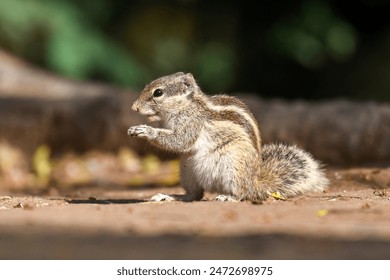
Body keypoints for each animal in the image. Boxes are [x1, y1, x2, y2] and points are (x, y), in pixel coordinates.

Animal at [128, 71, 330, 201]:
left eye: (158, 92)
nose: (134, 108)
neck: (187, 105)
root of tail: (254, 181)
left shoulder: (192, 124)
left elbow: (180, 141)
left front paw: (145, 130)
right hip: (187, 171)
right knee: (194, 195)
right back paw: (169, 196)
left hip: (234, 166)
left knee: (243, 194)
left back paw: (229, 197)